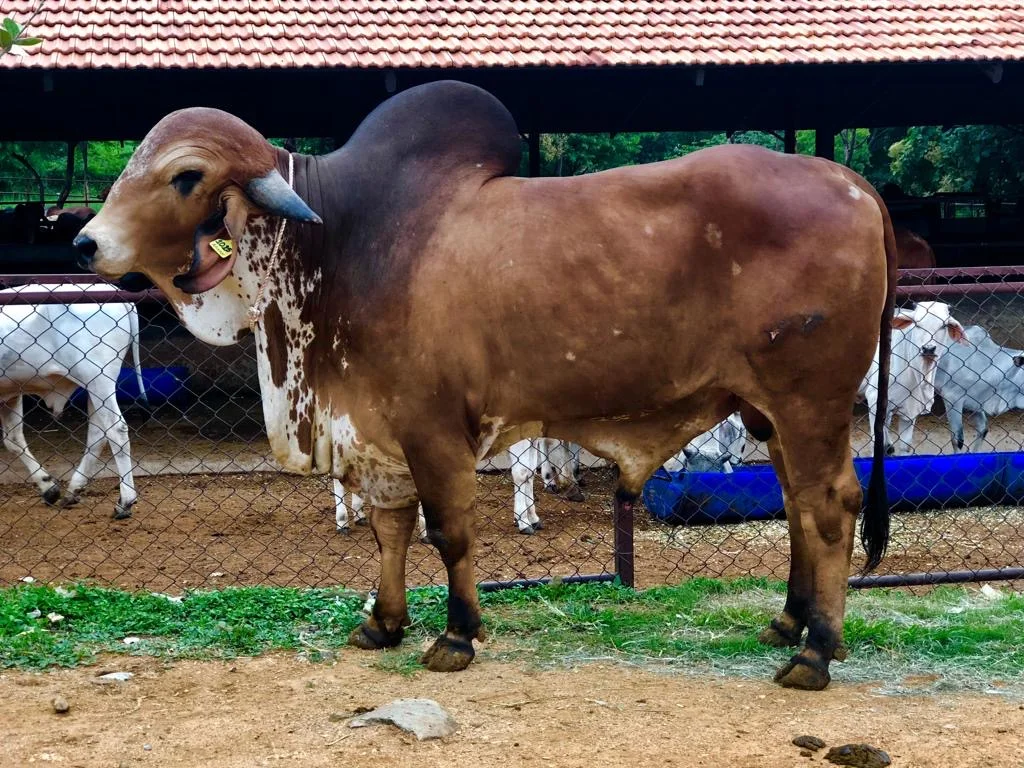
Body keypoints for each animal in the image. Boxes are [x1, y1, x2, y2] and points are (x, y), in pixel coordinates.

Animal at [0, 283, 145, 519]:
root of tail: (112, 289)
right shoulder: (11, 392)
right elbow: (13, 440)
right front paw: (48, 487)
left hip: (98, 378)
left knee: (117, 430)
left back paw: (125, 502)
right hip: (97, 385)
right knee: (98, 433)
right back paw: (73, 490)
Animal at [74, 81, 894, 690]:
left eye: (184, 176)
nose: (86, 242)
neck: (338, 243)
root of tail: (852, 181)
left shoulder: (432, 428)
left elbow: (448, 531)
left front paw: (456, 635)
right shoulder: (376, 431)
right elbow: (390, 528)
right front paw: (383, 622)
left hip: (810, 401)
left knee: (829, 506)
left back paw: (816, 650)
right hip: (768, 412)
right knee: (796, 504)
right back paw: (787, 622)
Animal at [859, 301, 967, 455]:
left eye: (943, 326)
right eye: (917, 324)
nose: (928, 348)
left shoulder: (910, 411)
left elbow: (905, 445)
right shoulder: (874, 399)